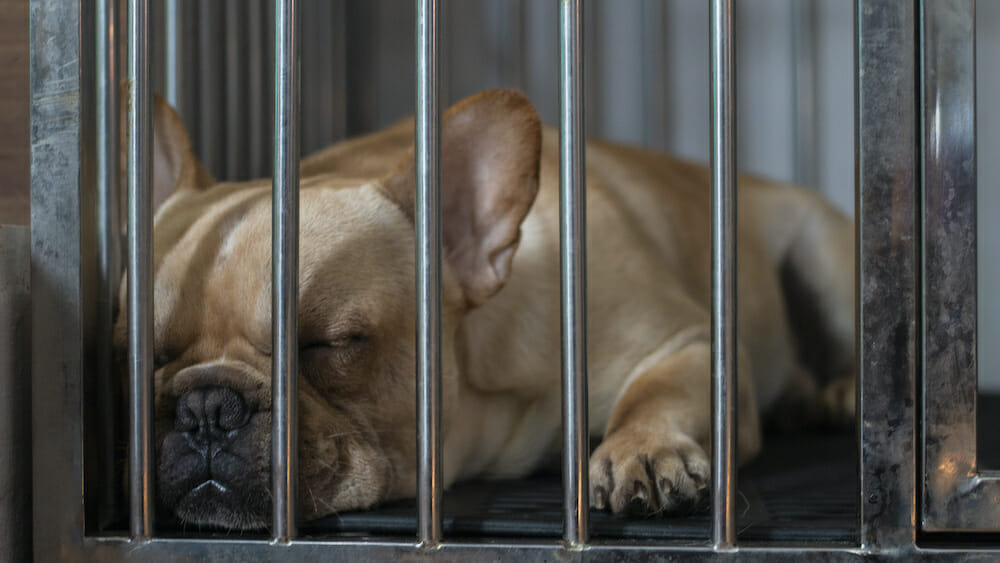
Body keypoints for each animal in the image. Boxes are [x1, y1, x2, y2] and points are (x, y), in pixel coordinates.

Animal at [115, 90, 852, 532]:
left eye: (327, 343)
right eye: (139, 354)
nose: (206, 408)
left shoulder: (691, 340)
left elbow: (657, 390)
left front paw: (643, 449)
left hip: (825, 253)